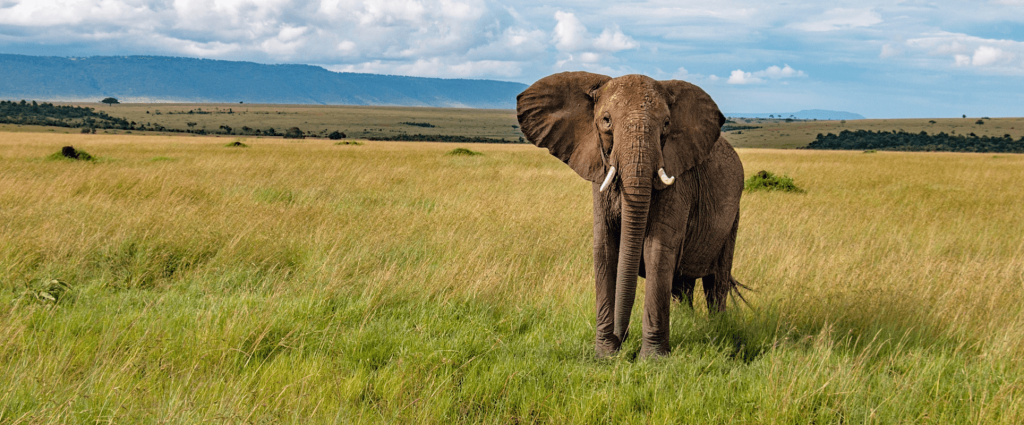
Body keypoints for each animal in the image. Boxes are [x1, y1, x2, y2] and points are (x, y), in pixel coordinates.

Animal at [520, 71, 745, 358]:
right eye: (606, 121)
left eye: (667, 124)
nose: (622, 340)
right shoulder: (599, 173)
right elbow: (605, 250)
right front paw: (605, 355)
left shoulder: (677, 180)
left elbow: (656, 251)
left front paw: (652, 359)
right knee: (683, 284)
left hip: (733, 216)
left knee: (716, 282)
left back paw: (717, 328)